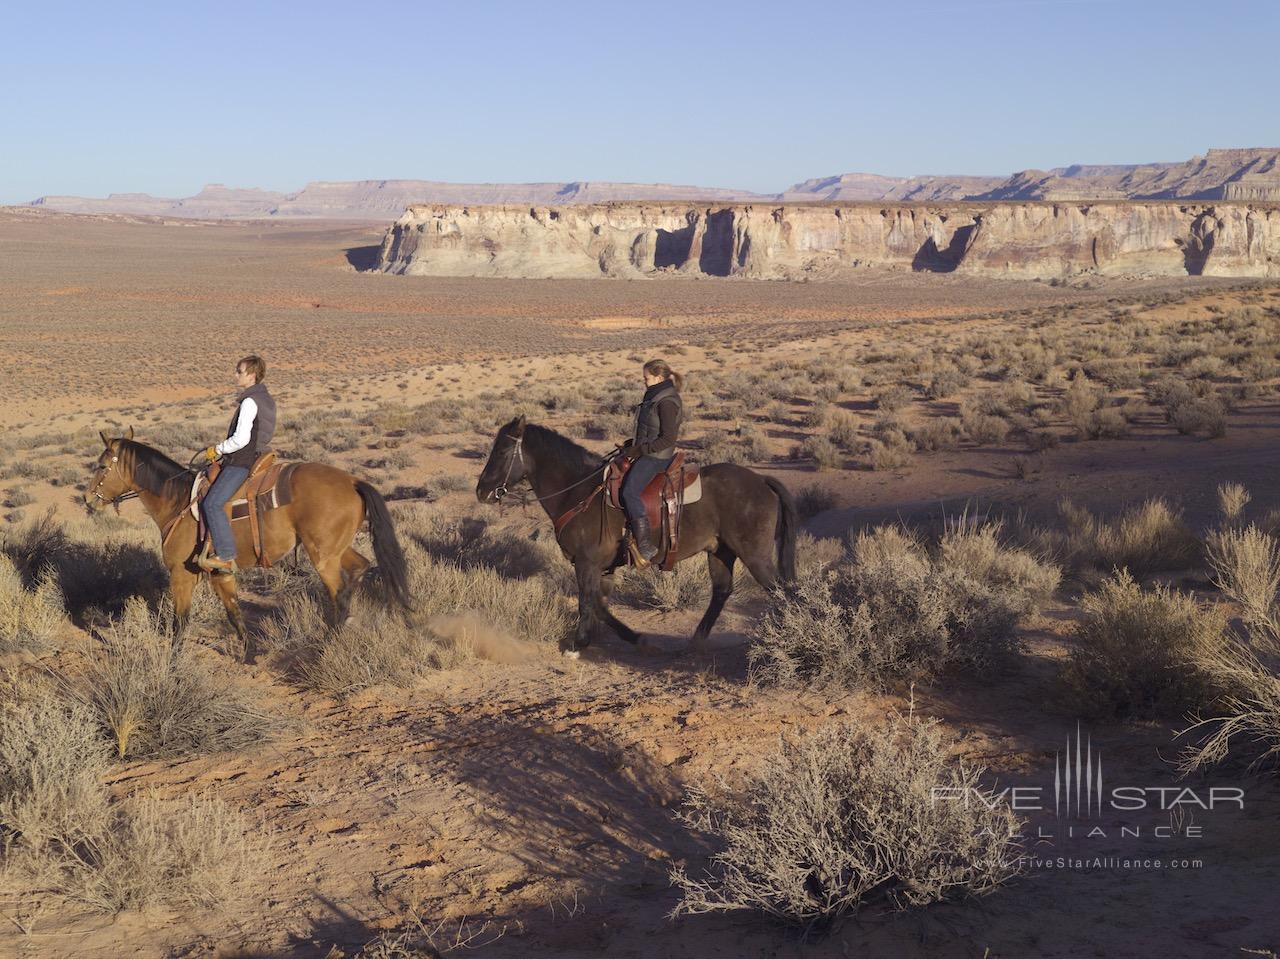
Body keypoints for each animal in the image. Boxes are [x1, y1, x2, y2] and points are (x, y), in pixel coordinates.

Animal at [87, 430, 407, 660]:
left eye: (101, 465)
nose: (88, 499)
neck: (177, 501)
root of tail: (352, 481)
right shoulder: (220, 574)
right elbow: (234, 612)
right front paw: (249, 655)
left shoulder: (181, 574)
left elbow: (181, 620)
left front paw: (173, 660)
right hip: (336, 550)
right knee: (360, 568)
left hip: (323, 557)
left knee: (338, 594)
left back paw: (328, 642)